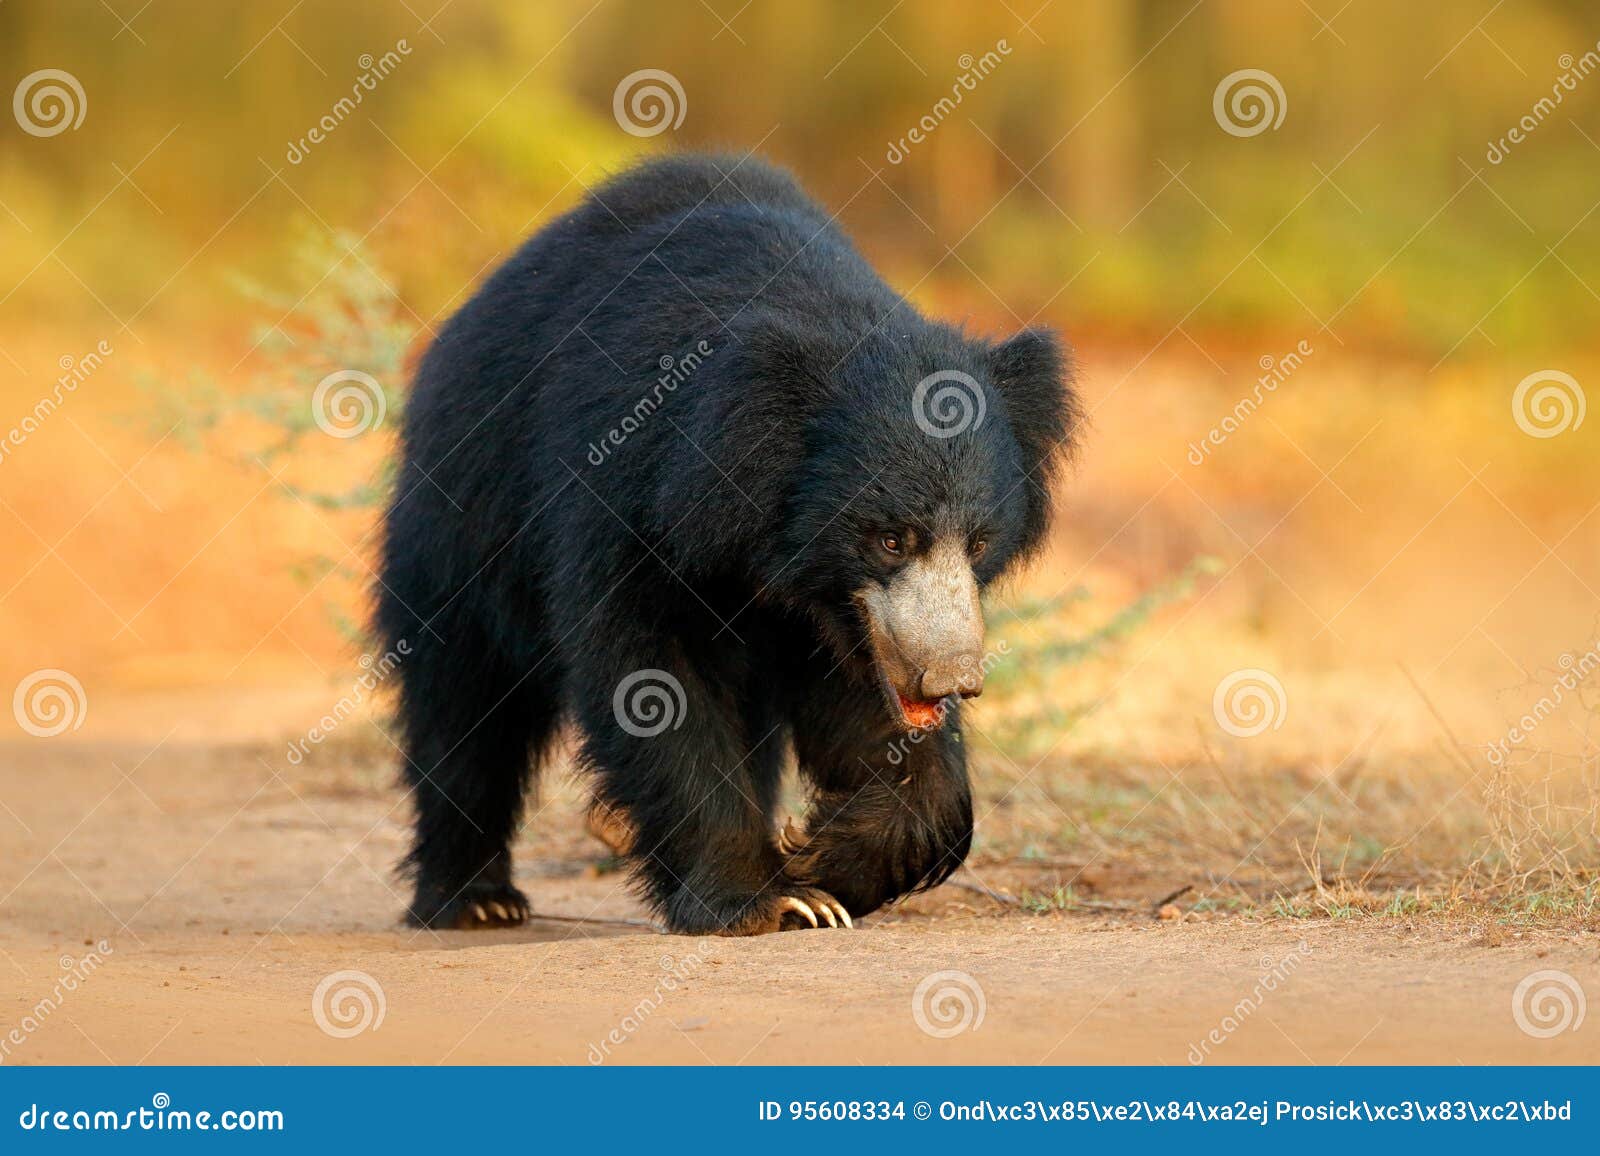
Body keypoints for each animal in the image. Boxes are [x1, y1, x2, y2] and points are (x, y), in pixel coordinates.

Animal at [379, 152, 1081, 935]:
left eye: (980, 542)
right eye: (891, 538)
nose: (949, 679)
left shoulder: (844, 614)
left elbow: (869, 706)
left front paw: (821, 860)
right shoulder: (629, 498)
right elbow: (650, 673)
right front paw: (764, 898)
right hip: (460, 526)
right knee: (464, 708)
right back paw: (475, 899)